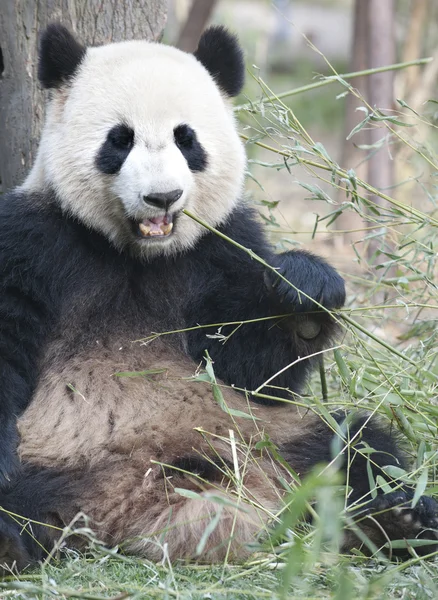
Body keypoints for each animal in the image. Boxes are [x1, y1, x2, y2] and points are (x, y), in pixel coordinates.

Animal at [0, 22, 436, 568]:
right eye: (120, 140)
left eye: (186, 140)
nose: (162, 197)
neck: (139, 253)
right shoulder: (36, 241)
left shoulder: (223, 249)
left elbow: (252, 369)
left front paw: (305, 291)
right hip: (58, 457)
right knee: (21, 500)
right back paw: (10, 540)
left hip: (268, 436)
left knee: (356, 448)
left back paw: (394, 520)